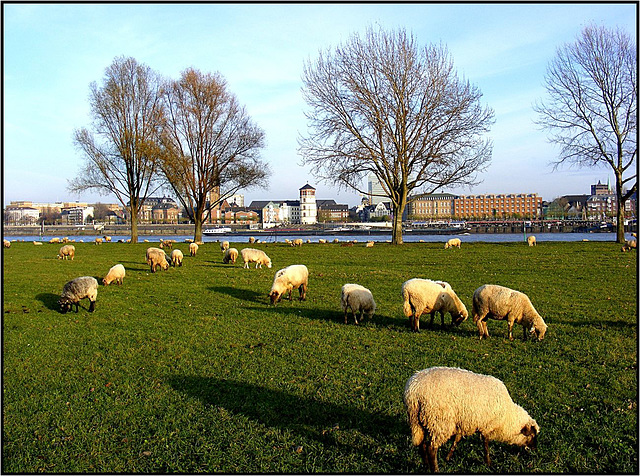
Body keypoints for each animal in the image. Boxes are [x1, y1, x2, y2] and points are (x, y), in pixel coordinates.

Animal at [404, 364, 540, 472]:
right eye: (532, 435)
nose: (535, 449)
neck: (507, 417)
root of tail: (414, 391)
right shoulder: (486, 425)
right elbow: (485, 444)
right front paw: (488, 463)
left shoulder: (464, 422)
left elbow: (457, 440)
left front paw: (448, 457)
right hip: (439, 421)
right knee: (431, 448)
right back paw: (435, 469)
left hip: (418, 421)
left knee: (422, 444)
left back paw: (426, 465)